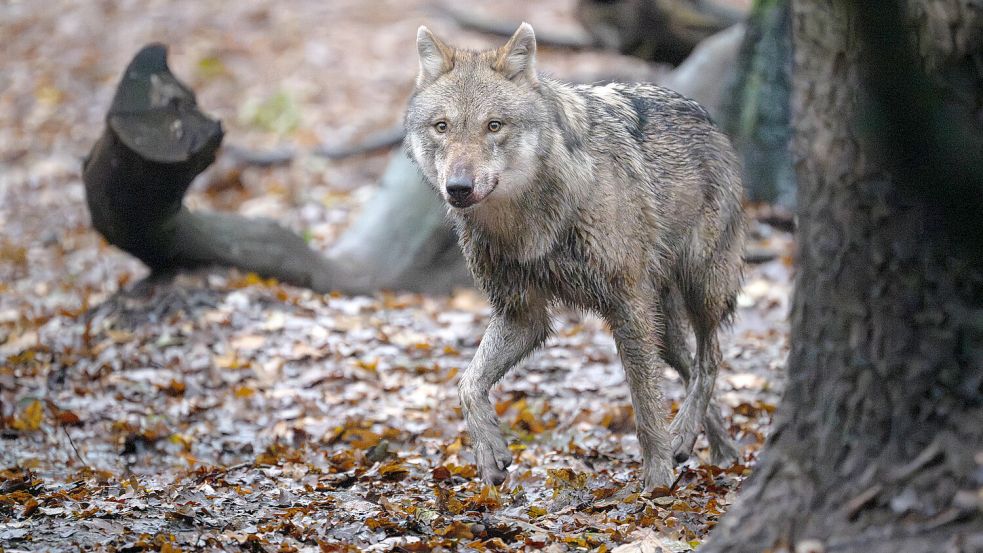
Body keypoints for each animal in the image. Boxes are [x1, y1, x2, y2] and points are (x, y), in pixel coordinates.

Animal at [406, 22, 744, 488]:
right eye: (442, 127)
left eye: (493, 126)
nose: (458, 188)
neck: (527, 224)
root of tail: (709, 119)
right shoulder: (522, 315)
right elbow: (467, 384)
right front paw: (489, 452)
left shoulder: (626, 305)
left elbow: (644, 407)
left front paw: (657, 480)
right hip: (663, 326)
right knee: (692, 367)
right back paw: (715, 448)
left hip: (700, 288)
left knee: (711, 359)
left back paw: (684, 438)